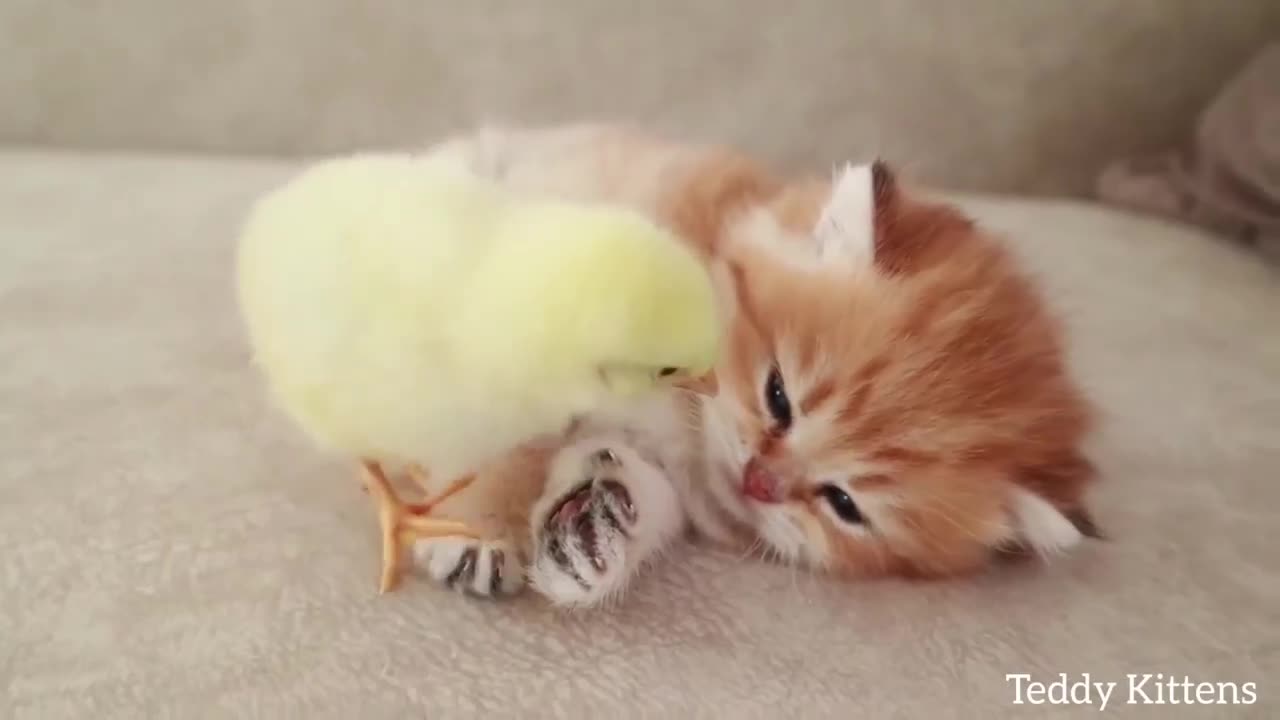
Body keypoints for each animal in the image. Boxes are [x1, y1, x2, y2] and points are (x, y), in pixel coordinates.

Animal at [412, 122, 1100, 599]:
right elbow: (498, 439)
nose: (759, 483)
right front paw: (477, 533)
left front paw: (591, 529)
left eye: (843, 504)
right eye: (778, 396)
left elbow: (635, 487)